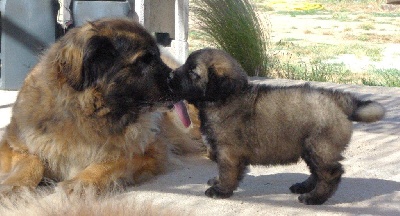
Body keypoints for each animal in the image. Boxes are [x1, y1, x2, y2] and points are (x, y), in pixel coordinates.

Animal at [0, 18, 200, 194]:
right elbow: (32, 160)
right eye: (143, 60)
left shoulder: (150, 151)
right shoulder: (13, 143)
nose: (180, 80)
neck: (88, 114)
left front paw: (82, 182)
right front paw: (14, 185)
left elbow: (113, 161)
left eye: (157, 57)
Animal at [167, 48, 386, 205]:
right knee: (317, 172)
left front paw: (221, 190)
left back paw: (315, 198)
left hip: (319, 146)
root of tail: (339, 101)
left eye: (192, 72)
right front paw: (217, 182)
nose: (169, 76)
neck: (225, 97)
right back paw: (304, 187)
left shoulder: (229, 152)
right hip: (309, 148)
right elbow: (223, 171)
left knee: (331, 173)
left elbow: (228, 172)